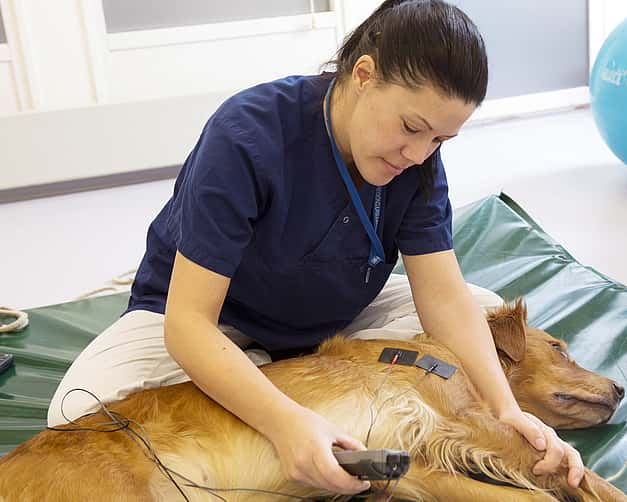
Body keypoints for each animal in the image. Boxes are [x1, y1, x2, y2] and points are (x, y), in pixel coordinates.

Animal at [1, 300, 627, 500]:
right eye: (560, 347)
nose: (621, 387)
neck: (441, 351)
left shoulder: (417, 467)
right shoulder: (458, 423)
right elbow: (576, 477)